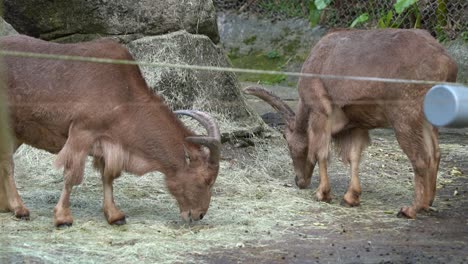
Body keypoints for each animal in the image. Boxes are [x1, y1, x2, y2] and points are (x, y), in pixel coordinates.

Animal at [0, 34, 222, 226]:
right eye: (207, 179)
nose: (199, 215)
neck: (123, 93)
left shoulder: (109, 142)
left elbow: (108, 176)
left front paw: (115, 216)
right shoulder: (82, 132)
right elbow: (72, 175)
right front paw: (63, 217)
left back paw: (7, 206)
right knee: (8, 164)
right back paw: (20, 209)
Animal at [245, 28, 458, 219]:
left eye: (288, 142)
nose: (299, 181)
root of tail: (446, 62)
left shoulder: (320, 111)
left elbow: (321, 153)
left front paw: (323, 193)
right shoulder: (356, 125)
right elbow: (354, 157)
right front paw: (351, 197)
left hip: (405, 118)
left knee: (420, 160)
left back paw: (411, 209)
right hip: (428, 120)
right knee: (435, 154)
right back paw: (428, 203)